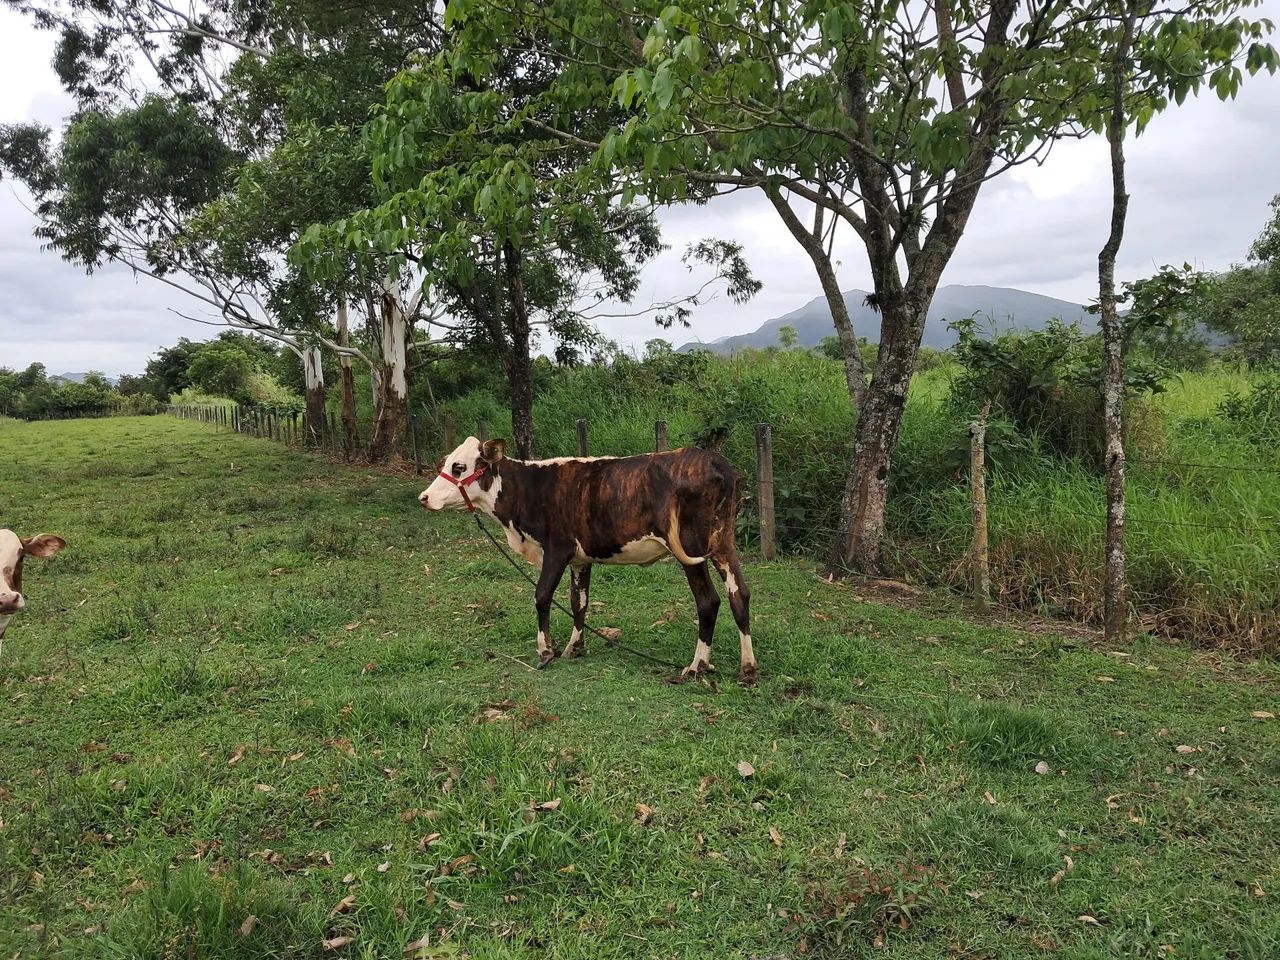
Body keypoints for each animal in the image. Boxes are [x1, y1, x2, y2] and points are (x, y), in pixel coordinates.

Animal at [418, 437, 757, 683]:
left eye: (459, 467)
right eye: (445, 463)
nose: (424, 497)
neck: (529, 490)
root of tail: (713, 459)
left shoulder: (558, 549)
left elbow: (542, 595)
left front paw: (546, 651)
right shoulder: (580, 559)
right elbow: (578, 601)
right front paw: (574, 647)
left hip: (690, 548)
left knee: (708, 601)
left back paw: (696, 665)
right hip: (723, 543)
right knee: (739, 594)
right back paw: (747, 668)